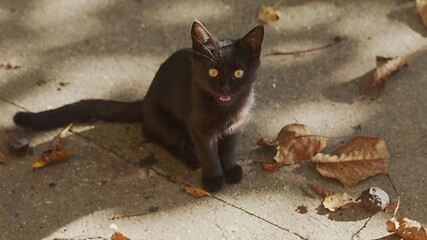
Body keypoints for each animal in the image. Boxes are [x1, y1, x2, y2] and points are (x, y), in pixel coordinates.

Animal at [13, 21, 264, 193]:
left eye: (238, 73)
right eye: (213, 72)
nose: (225, 88)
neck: (225, 110)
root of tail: (144, 101)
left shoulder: (236, 125)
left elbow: (229, 148)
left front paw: (231, 169)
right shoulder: (198, 128)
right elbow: (209, 154)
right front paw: (213, 178)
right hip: (166, 124)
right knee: (163, 138)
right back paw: (190, 158)